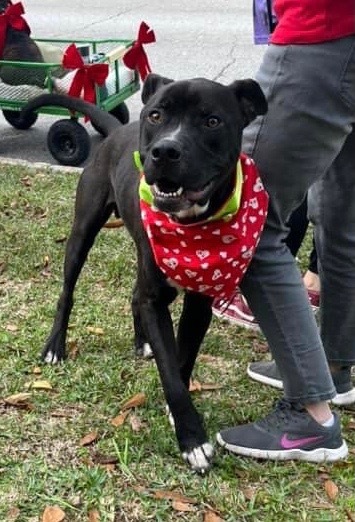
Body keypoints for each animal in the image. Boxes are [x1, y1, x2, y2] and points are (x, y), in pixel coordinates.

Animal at [20, 74, 268, 472]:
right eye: (156, 115)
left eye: (212, 121)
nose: (165, 152)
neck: (189, 230)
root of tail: (116, 131)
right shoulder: (156, 297)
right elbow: (170, 371)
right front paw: (192, 440)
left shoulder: (198, 303)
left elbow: (181, 359)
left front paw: (179, 415)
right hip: (82, 232)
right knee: (68, 292)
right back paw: (55, 346)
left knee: (134, 296)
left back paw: (142, 341)